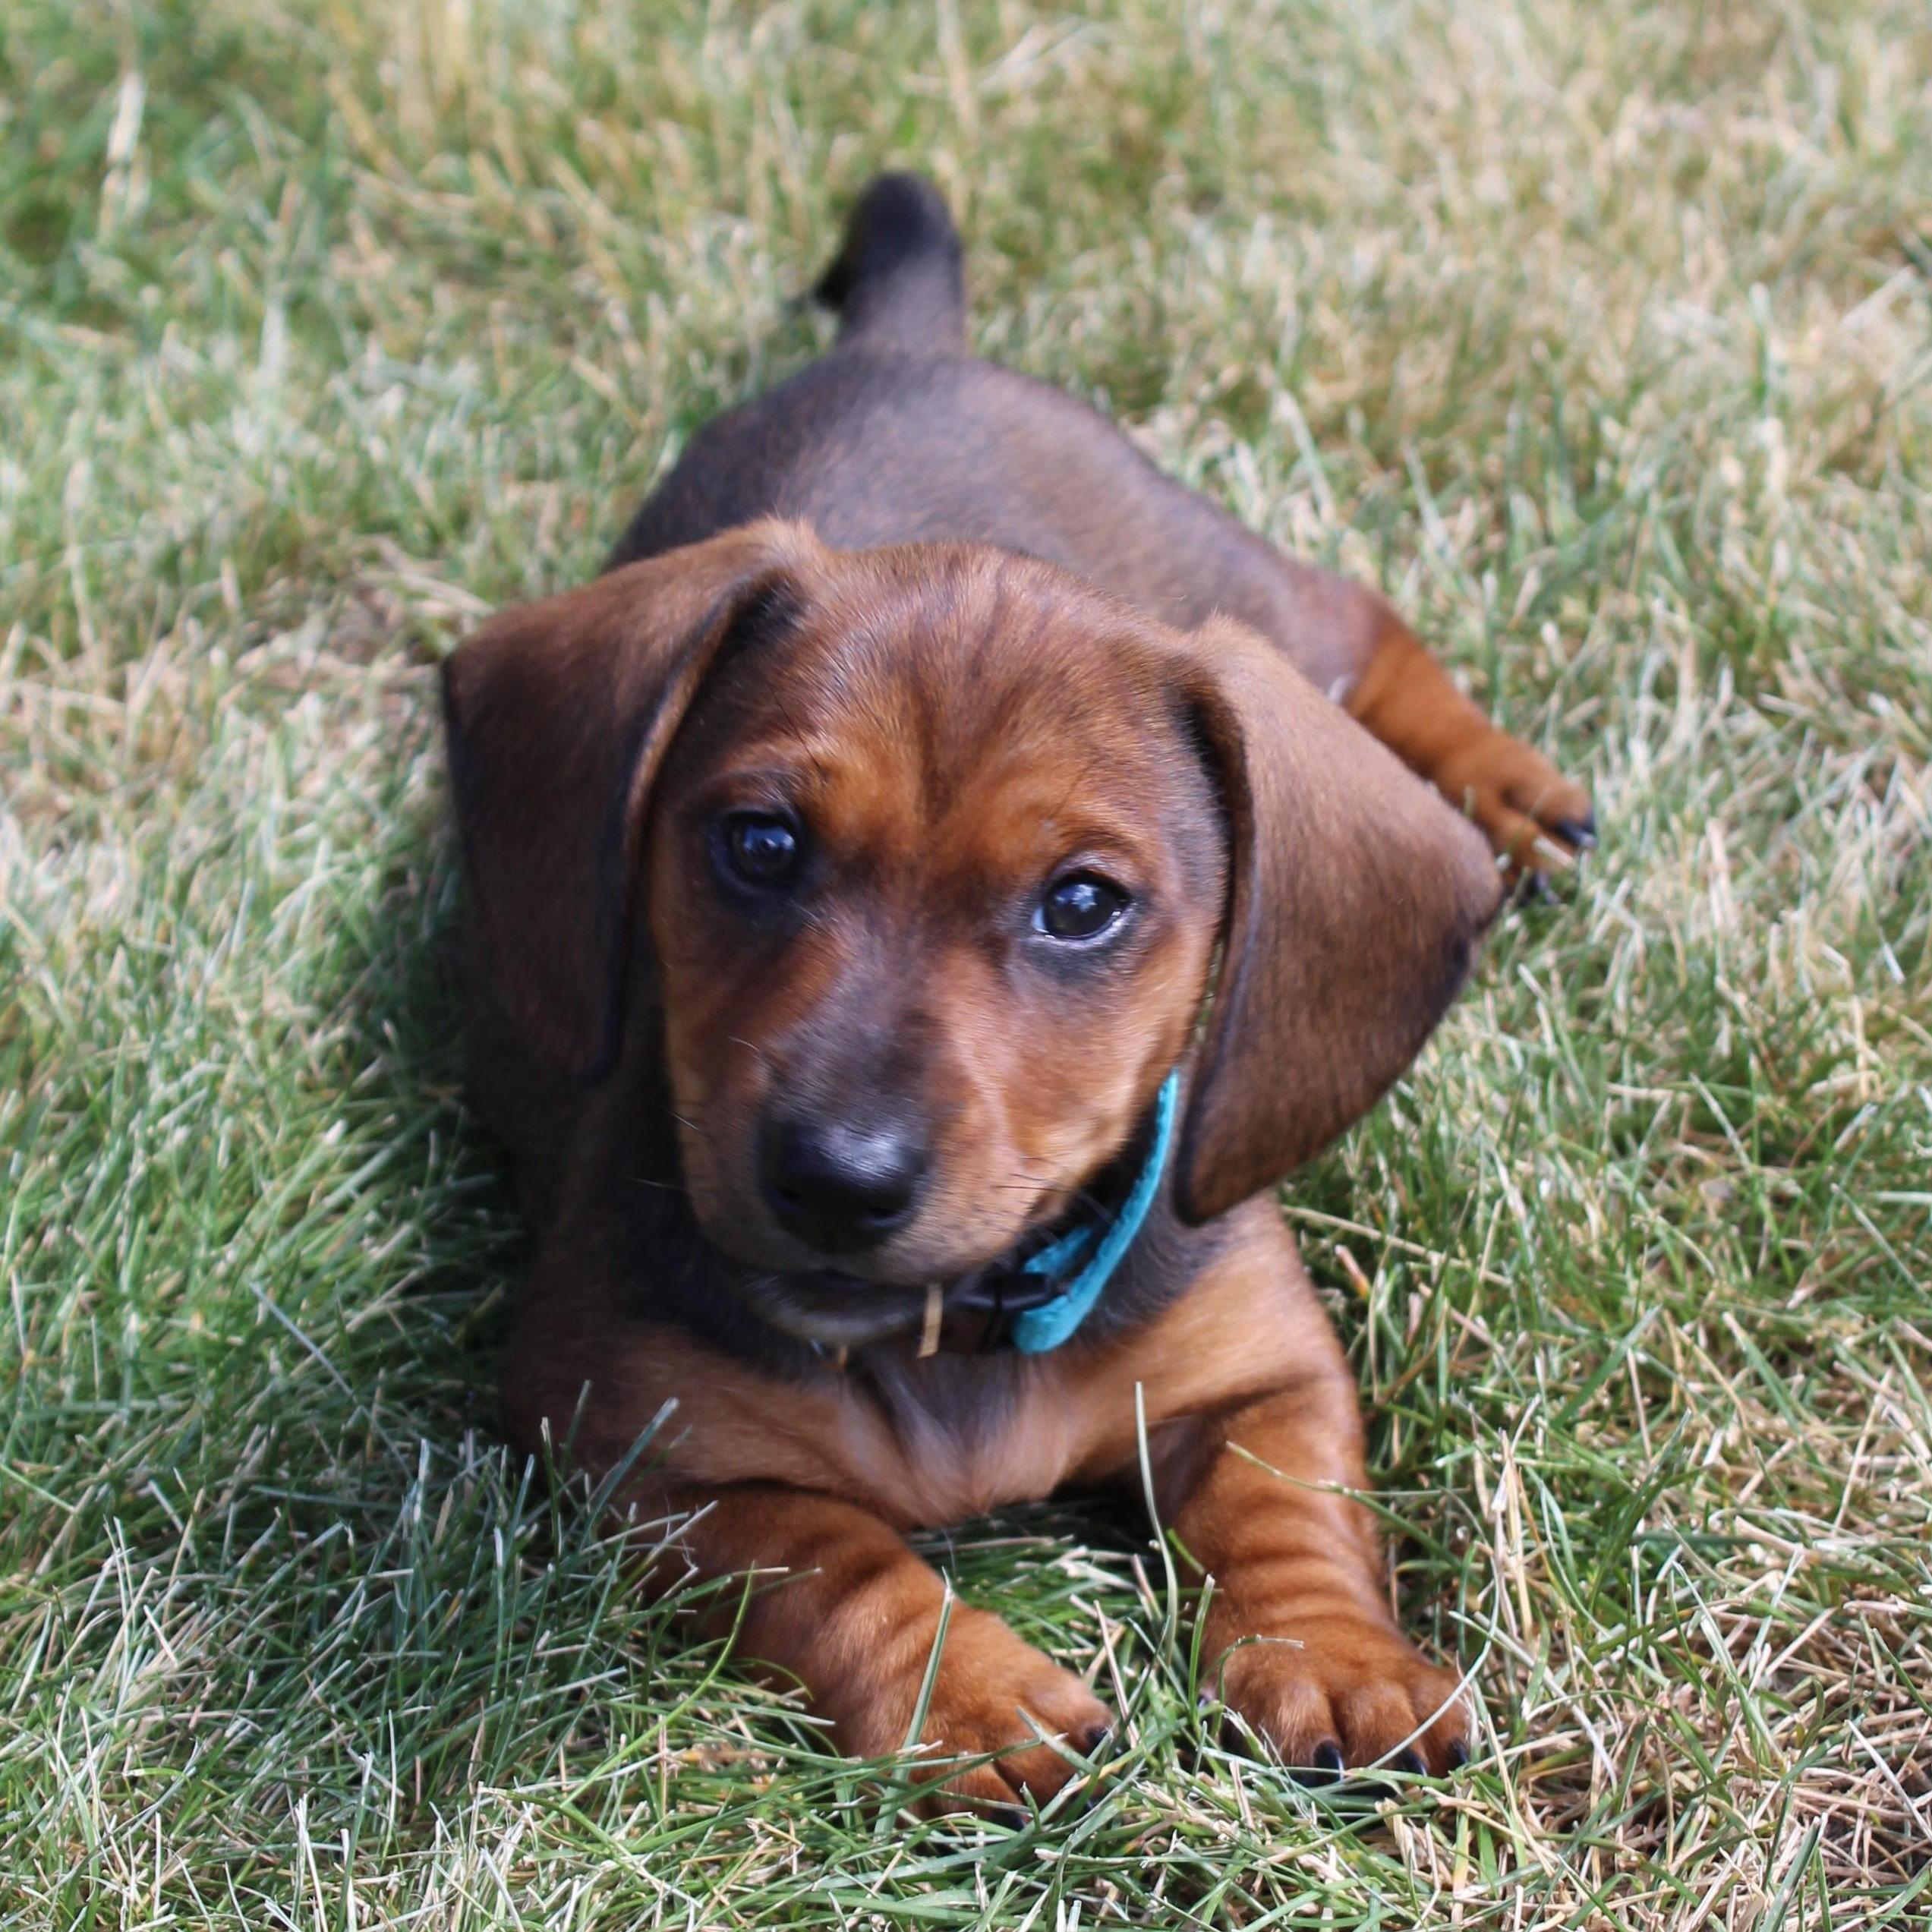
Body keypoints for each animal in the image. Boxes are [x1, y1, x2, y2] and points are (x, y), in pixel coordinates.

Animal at [444, 174, 1592, 1816]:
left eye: (1084, 906)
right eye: (758, 843)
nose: (835, 1179)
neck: (961, 1335)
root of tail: (911, 344)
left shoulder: (1264, 1364)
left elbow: (1288, 1507)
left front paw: (1335, 1658)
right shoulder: (632, 1439)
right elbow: (828, 1555)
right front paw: (970, 1696)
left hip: (1240, 581)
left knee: (1360, 612)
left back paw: (1507, 791)